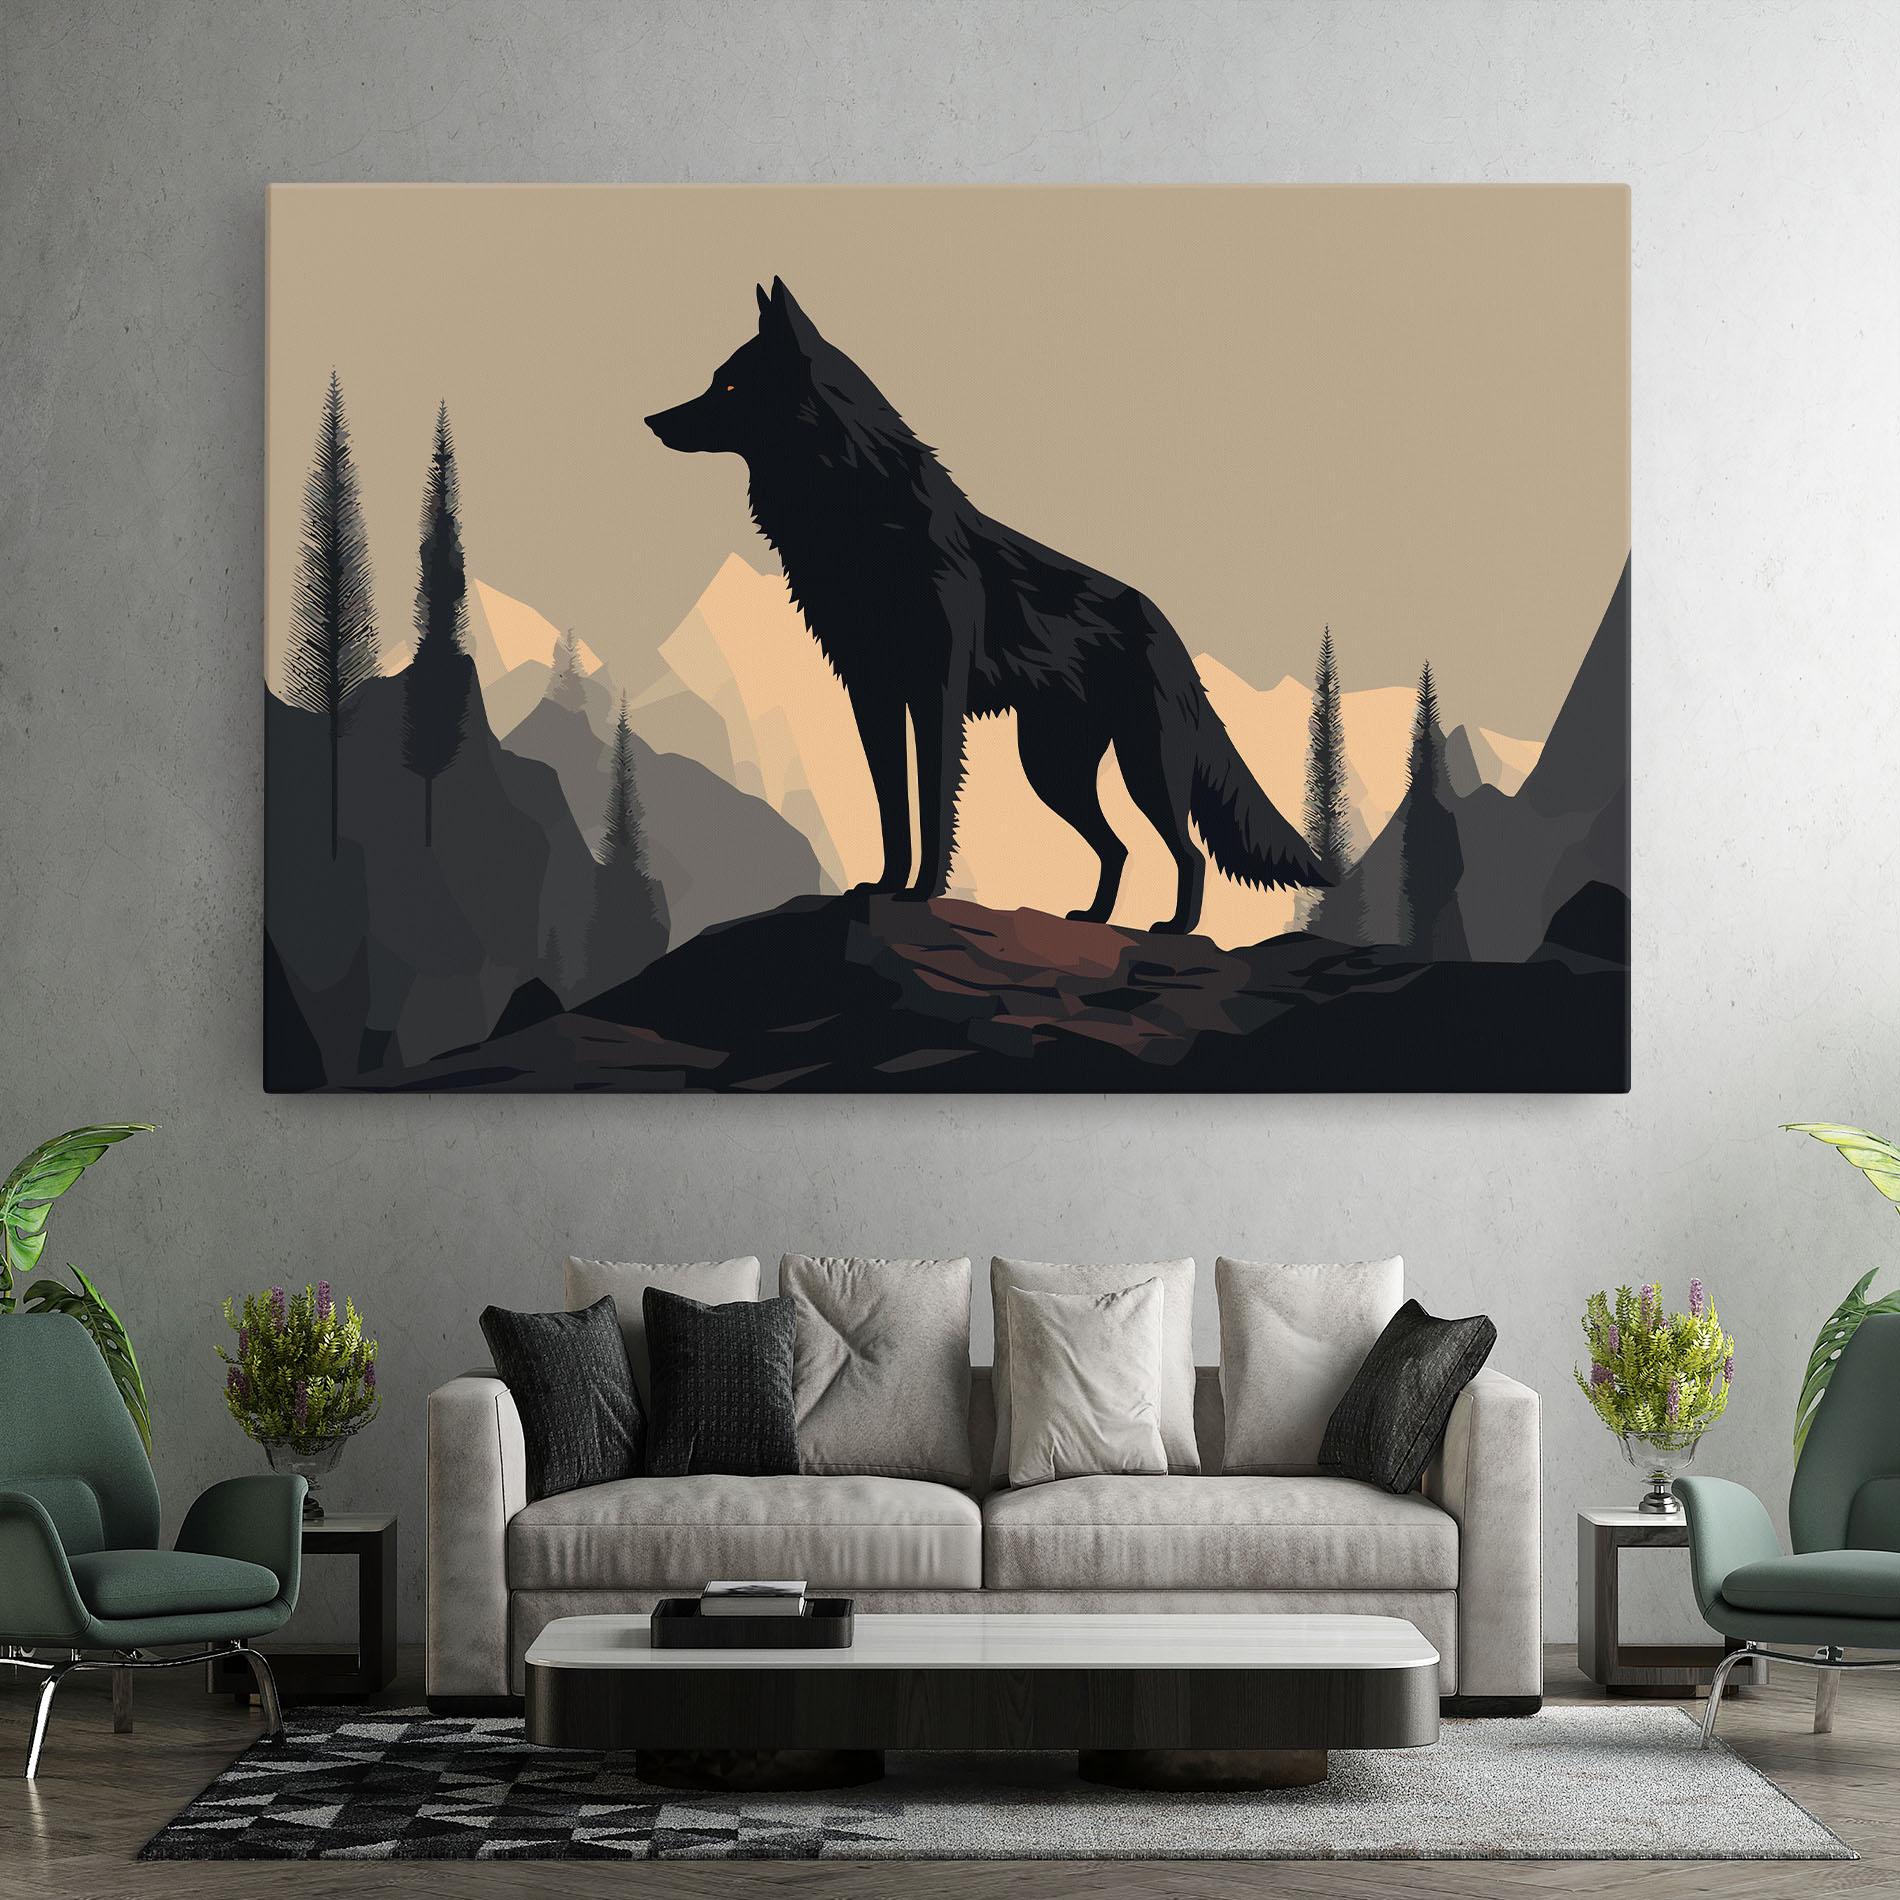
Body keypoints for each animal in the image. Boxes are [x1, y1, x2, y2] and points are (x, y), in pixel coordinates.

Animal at [646, 279, 1324, 934]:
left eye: (730, 384)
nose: (652, 421)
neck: (863, 515)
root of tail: (1169, 629)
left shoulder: (936, 694)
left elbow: (933, 799)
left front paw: (923, 892)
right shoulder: (872, 695)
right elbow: (892, 807)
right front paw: (885, 886)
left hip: (1142, 766)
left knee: (1187, 851)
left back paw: (1175, 927)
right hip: (1053, 769)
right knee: (1119, 847)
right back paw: (1095, 918)